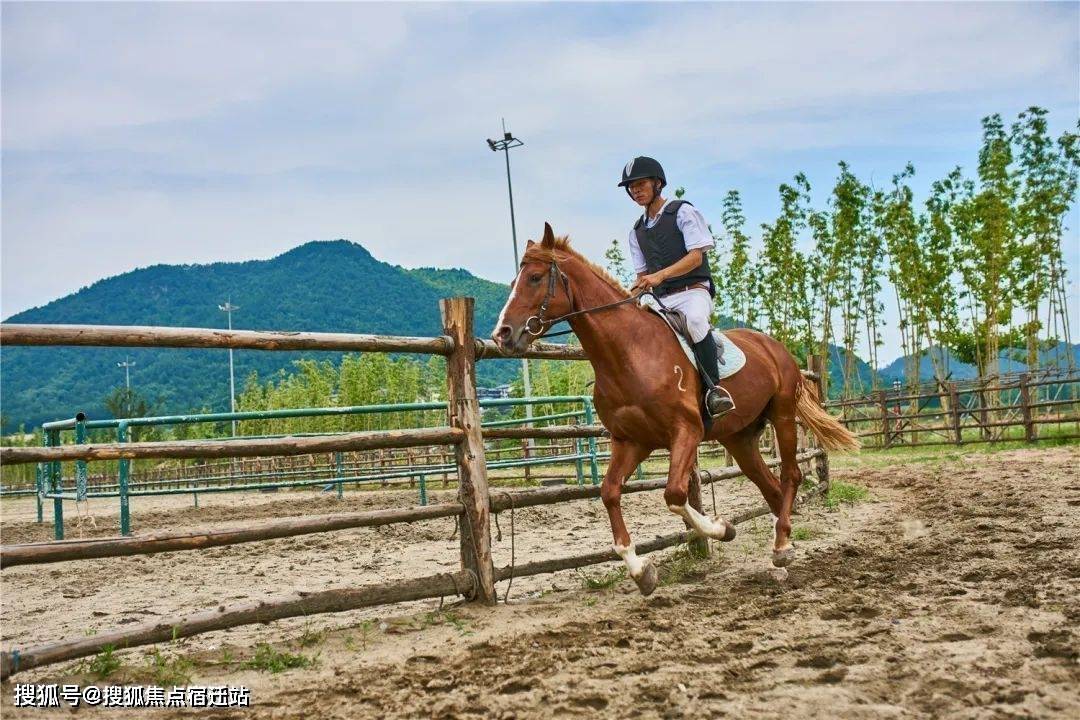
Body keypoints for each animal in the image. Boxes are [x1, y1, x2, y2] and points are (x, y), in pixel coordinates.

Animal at [494, 226, 855, 595]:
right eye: (514, 281)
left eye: (535, 278)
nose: (502, 334)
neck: (629, 353)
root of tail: (774, 346)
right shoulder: (632, 441)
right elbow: (609, 492)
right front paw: (642, 571)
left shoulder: (686, 431)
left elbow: (675, 494)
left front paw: (722, 528)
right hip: (739, 438)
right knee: (769, 485)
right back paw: (782, 542)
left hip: (782, 416)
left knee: (790, 475)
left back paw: (782, 548)